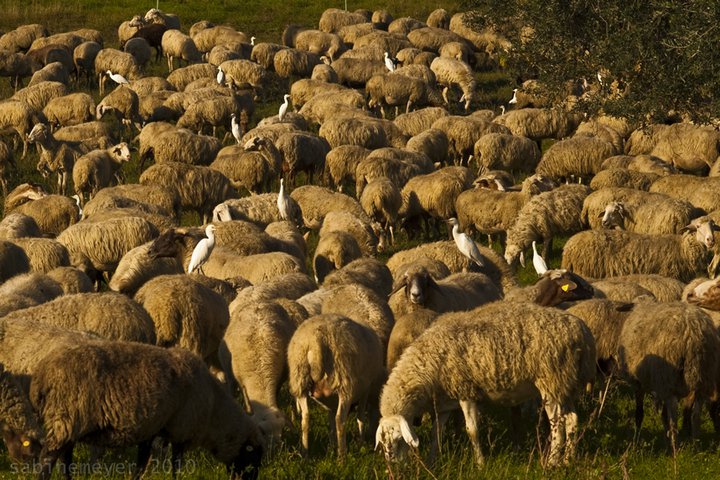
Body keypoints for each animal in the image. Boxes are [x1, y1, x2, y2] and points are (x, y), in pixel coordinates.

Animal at [31, 342, 262, 480]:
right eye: (252, 457)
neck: (214, 412)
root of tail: (41, 375)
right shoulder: (181, 429)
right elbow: (176, 465)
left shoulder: (151, 428)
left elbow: (142, 463)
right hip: (66, 418)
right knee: (48, 459)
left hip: (68, 423)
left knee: (64, 459)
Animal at [288, 316, 388, 458]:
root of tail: (316, 340)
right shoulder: (366, 389)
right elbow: (360, 416)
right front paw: (361, 441)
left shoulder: (330, 400)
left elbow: (330, 421)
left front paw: (331, 445)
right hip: (345, 383)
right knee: (340, 420)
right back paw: (342, 456)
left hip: (300, 380)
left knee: (305, 418)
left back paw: (305, 453)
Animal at [376, 304, 596, 464]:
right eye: (383, 442)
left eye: (398, 440)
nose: (393, 467)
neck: (428, 364)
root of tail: (583, 333)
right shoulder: (445, 402)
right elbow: (436, 434)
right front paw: (432, 462)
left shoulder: (466, 392)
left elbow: (472, 430)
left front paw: (480, 463)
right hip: (566, 384)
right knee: (572, 420)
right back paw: (568, 460)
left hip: (551, 381)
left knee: (558, 425)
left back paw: (552, 463)